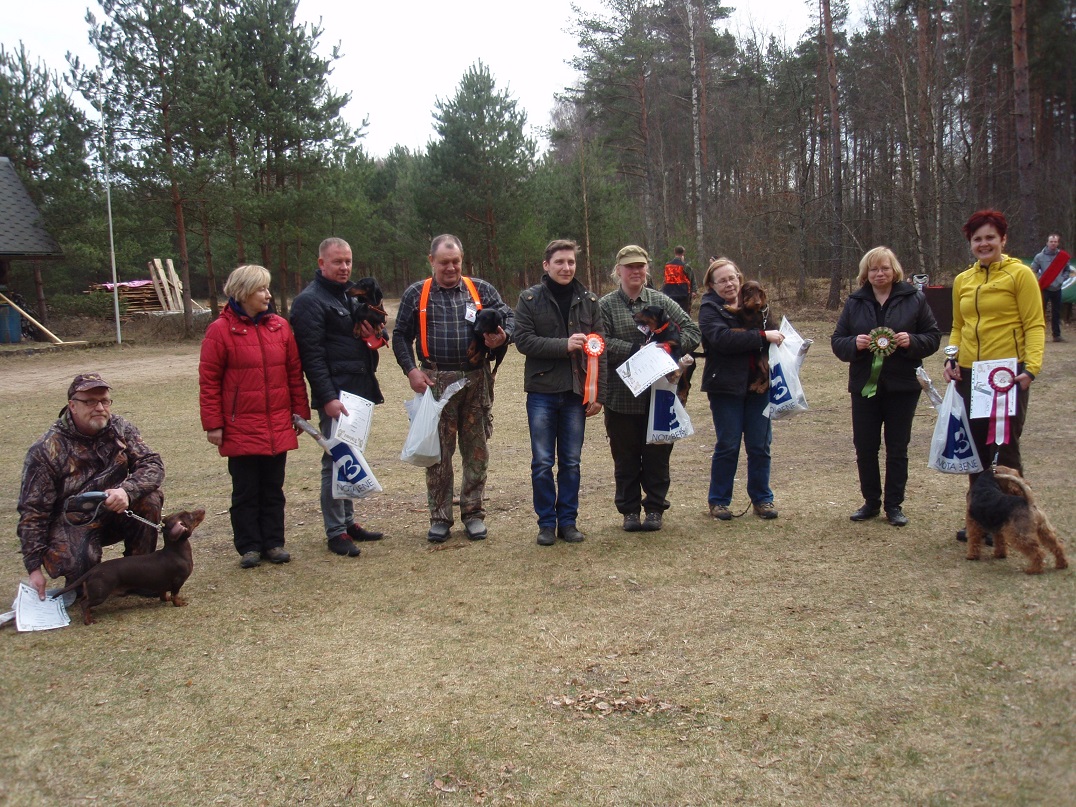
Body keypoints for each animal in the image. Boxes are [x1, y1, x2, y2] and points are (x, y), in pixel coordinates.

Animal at [53, 509, 205, 624]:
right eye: (190, 516)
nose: (203, 509)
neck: (175, 551)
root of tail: (92, 570)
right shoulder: (177, 582)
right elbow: (175, 595)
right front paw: (179, 603)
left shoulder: (163, 584)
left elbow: (163, 593)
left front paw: (165, 599)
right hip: (101, 593)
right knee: (84, 604)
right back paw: (88, 621)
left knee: (84, 602)